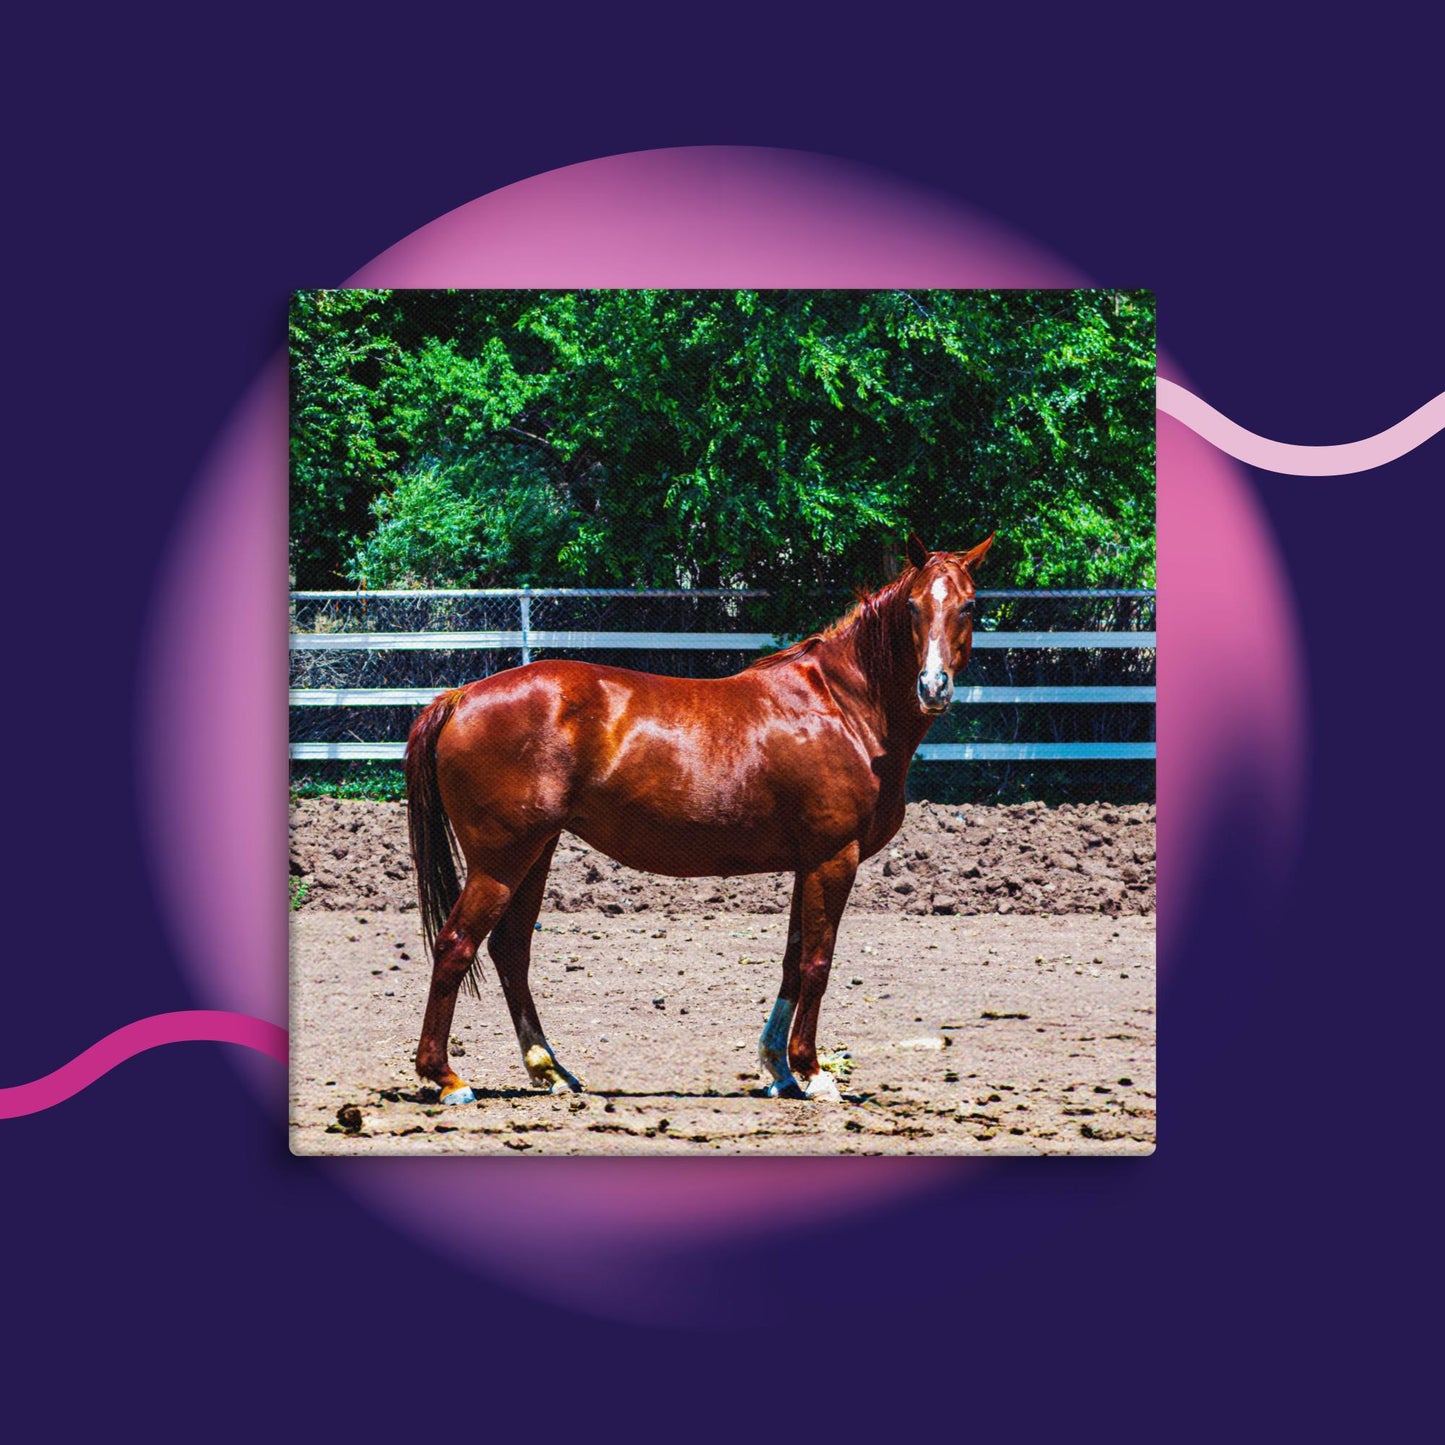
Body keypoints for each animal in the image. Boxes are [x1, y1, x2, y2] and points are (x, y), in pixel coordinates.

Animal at [407, 537, 994, 1098]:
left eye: (967, 605)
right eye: (914, 606)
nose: (933, 686)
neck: (842, 707)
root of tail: (461, 696)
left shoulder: (807, 863)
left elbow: (792, 960)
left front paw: (779, 1069)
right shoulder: (833, 858)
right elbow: (817, 963)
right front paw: (813, 1072)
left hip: (535, 853)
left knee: (510, 951)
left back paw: (550, 1071)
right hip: (501, 860)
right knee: (456, 944)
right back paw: (448, 1078)